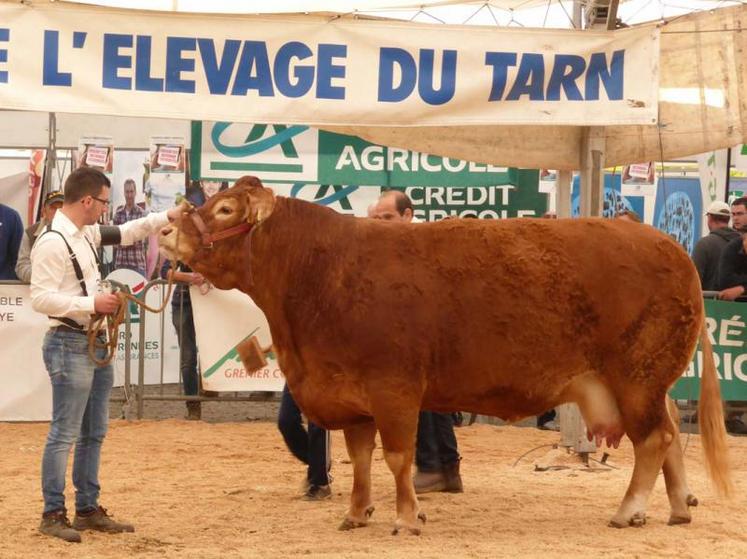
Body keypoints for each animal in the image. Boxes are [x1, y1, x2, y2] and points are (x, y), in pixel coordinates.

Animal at [159, 177, 732, 536]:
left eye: (225, 209)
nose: (165, 229)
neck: (321, 272)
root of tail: (671, 248)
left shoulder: (393, 389)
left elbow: (397, 457)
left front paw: (406, 517)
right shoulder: (351, 396)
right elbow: (361, 458)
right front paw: (357, 513)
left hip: (637, 377)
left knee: (654, 440)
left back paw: (628, 509)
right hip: (644, 383)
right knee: (669, 435)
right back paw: (676, 508)